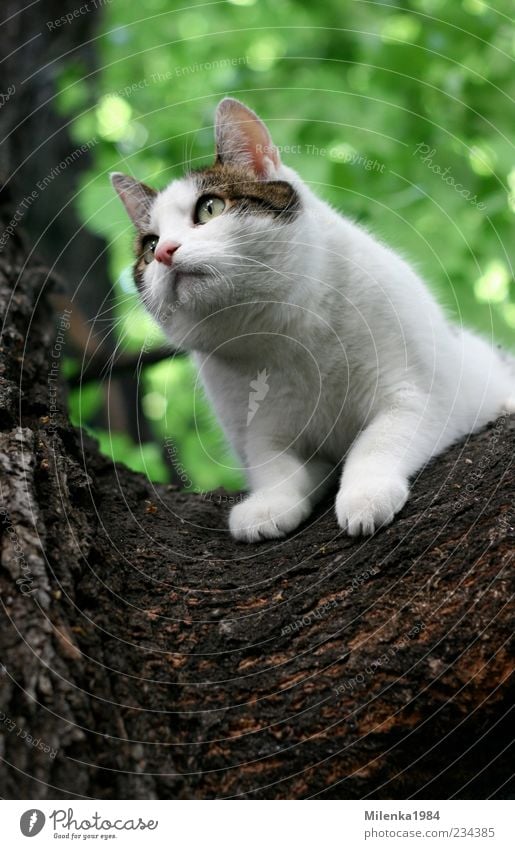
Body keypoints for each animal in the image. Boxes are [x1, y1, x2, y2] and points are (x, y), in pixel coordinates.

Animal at [111, 96, 512, 540]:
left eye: (209, 208)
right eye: (149, 247)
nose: (165, 252)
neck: (281, 329)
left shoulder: (416, 395)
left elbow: (375, 442)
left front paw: (365, 495)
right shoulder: (260, 433)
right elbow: (274, 467)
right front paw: (268, 506)